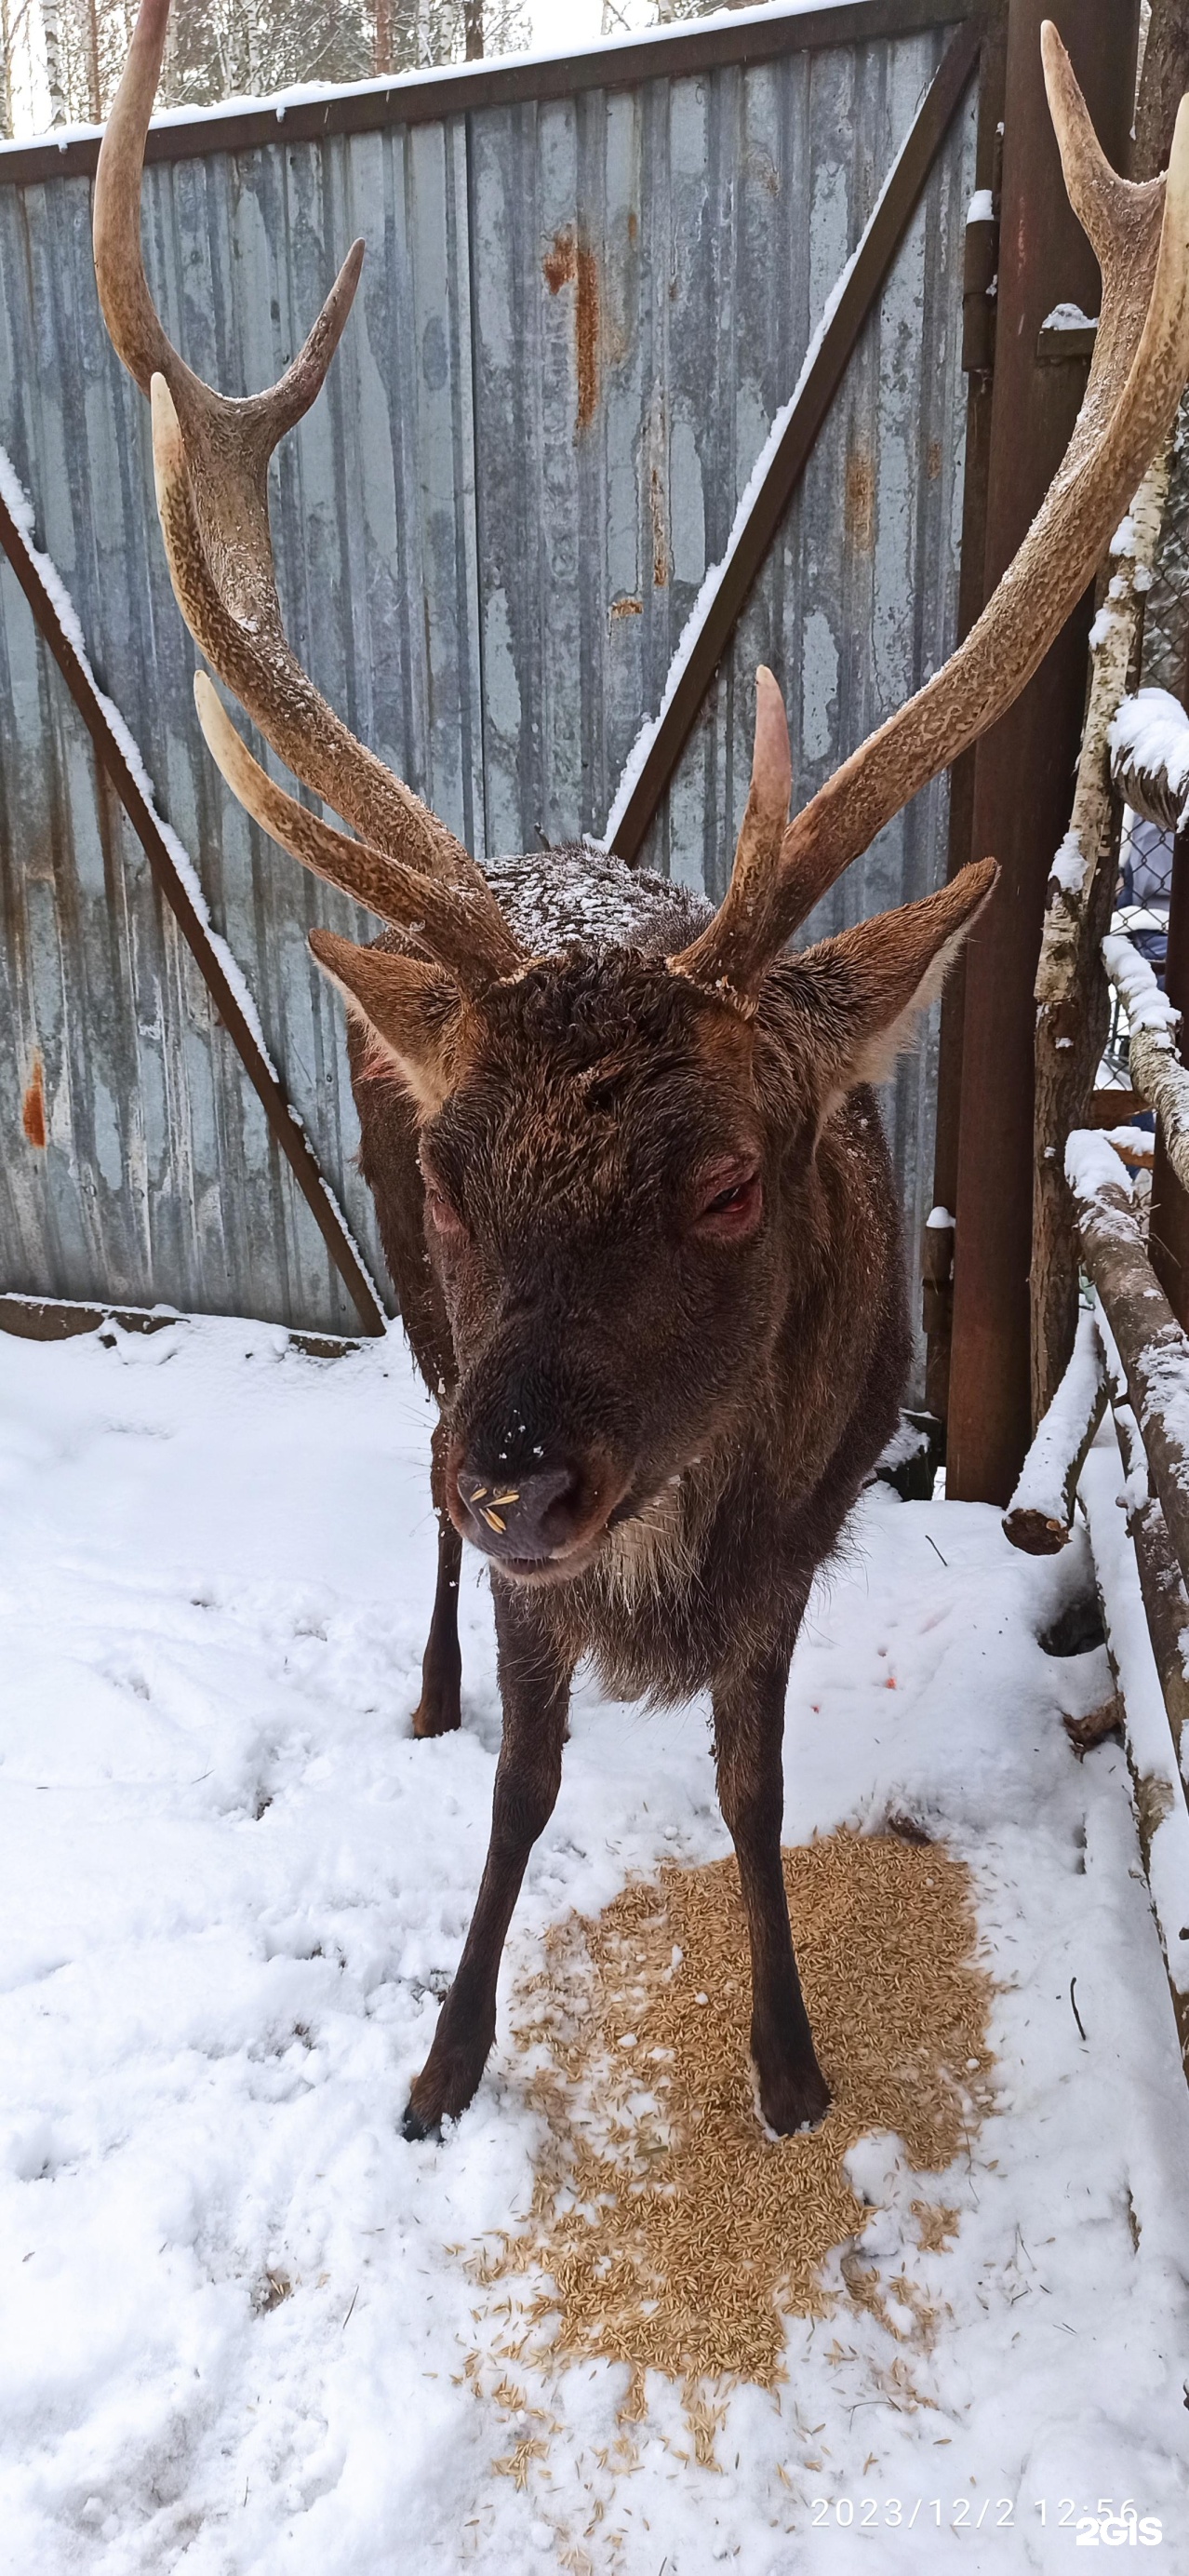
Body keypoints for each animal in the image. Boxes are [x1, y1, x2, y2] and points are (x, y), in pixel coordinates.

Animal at [95, 0, 1189, 2132]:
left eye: (734, 1179)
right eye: (455, 1173)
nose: (520, 1475)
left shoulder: (807, 1523)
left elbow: (751, 1788)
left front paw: (788, 2064)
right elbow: (523, 1785)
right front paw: (443, 2063)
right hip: (422, 1362)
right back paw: (429, 1676)